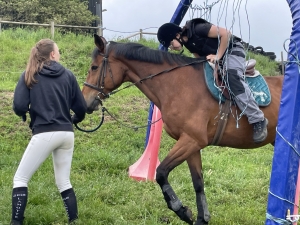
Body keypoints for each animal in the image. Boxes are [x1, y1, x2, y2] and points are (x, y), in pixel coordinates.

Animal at [81, 34, 284, 224]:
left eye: (94, 67)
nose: (86, 102)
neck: (178, 85)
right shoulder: (191, 146)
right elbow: (198, 183)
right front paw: (202, 218)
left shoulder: (191, 141)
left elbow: (161, 173)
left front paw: (182, 210)